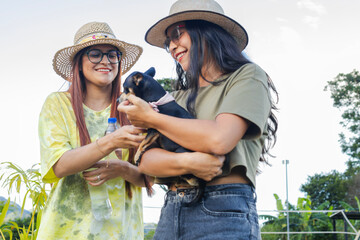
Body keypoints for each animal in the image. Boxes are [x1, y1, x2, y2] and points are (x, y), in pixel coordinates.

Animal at [116, 67, 204, 202]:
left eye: (125, 89)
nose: (117, 100)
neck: (155, 100)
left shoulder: (154, 130)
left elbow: (143, 143)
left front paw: (137, 156)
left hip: (181, 153)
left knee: (193, 179)